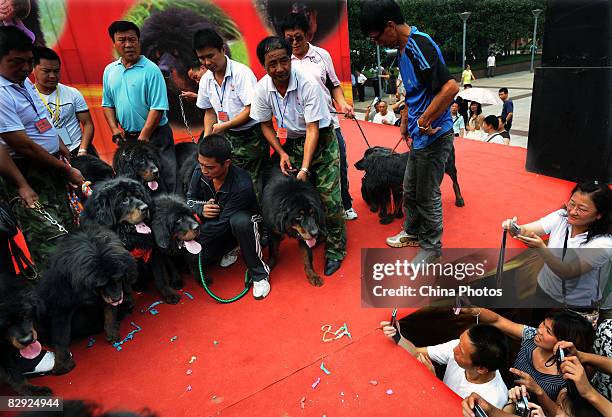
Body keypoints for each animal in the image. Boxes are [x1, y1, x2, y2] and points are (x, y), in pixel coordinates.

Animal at [35, 226, 137, 376]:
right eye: (102, 284)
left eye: (118, 278)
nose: (117, 298)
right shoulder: (61, 304)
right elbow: (60, 333)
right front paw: (63, 363)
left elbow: (110, 312)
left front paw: (111, 331)